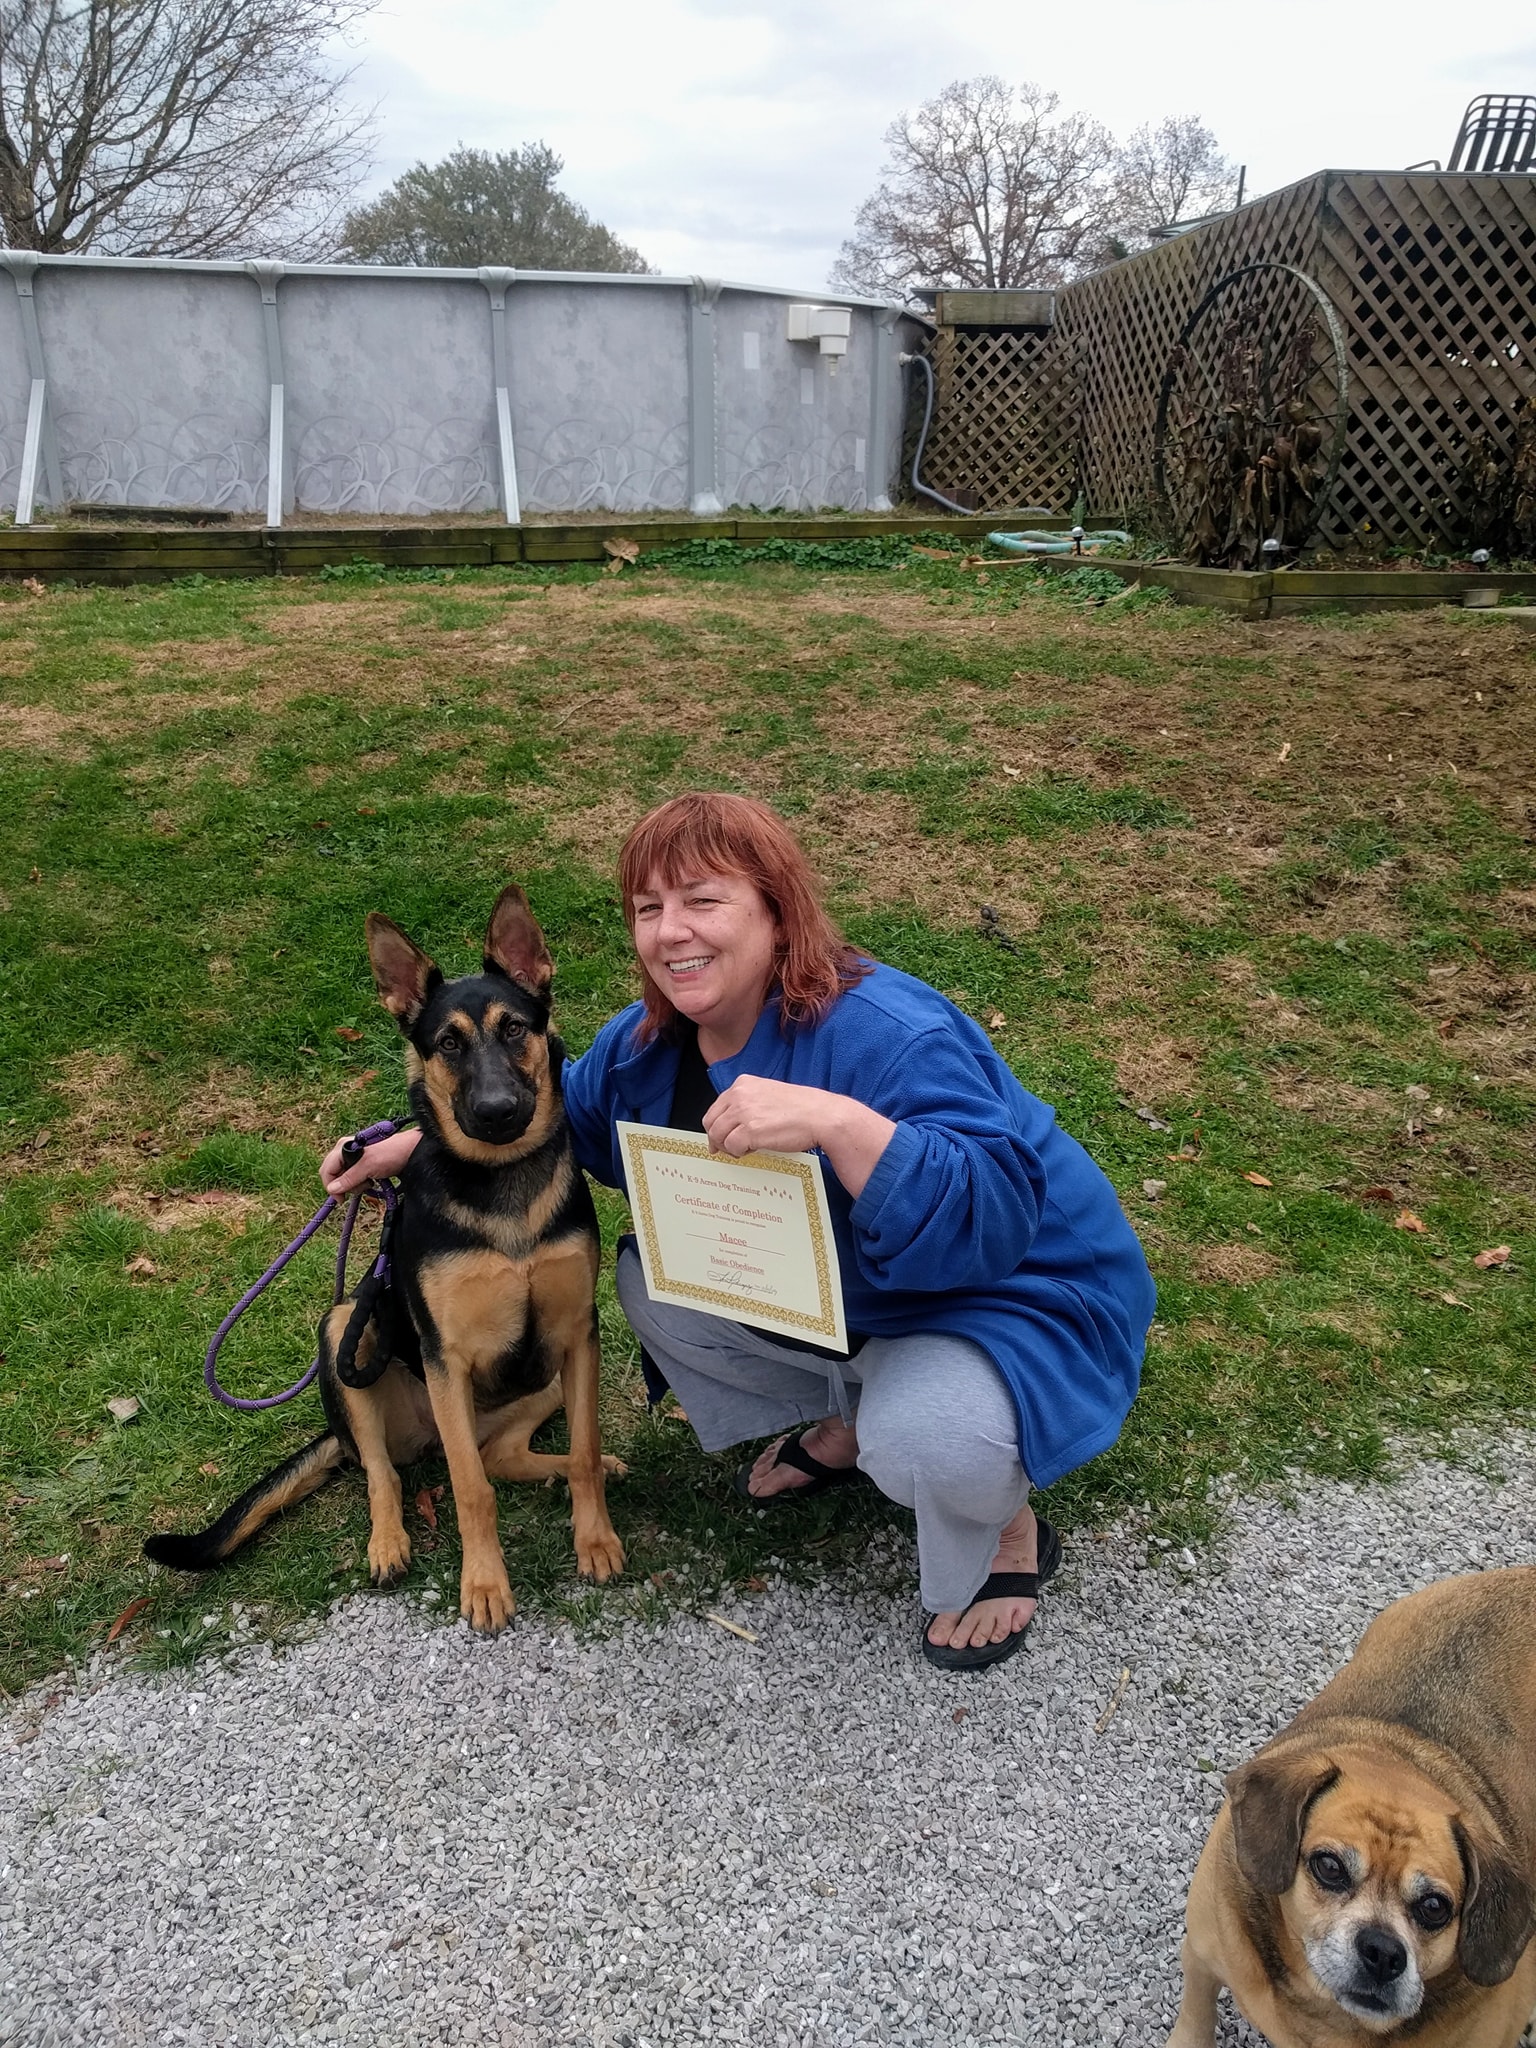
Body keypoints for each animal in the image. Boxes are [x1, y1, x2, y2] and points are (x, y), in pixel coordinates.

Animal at [144, 884, 625, 1632]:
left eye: (515, 1029)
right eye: (448, 1043)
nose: (496, 1111)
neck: (501, 1182)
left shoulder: (579, 1334)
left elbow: (580, 1453)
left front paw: (594, 1539)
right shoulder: (443, 1354)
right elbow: (470, 1490)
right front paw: (484, 1584)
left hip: (544, 1376)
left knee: (501, 1455)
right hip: (349, 1333)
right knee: (389, 1471)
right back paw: (389, 1541)